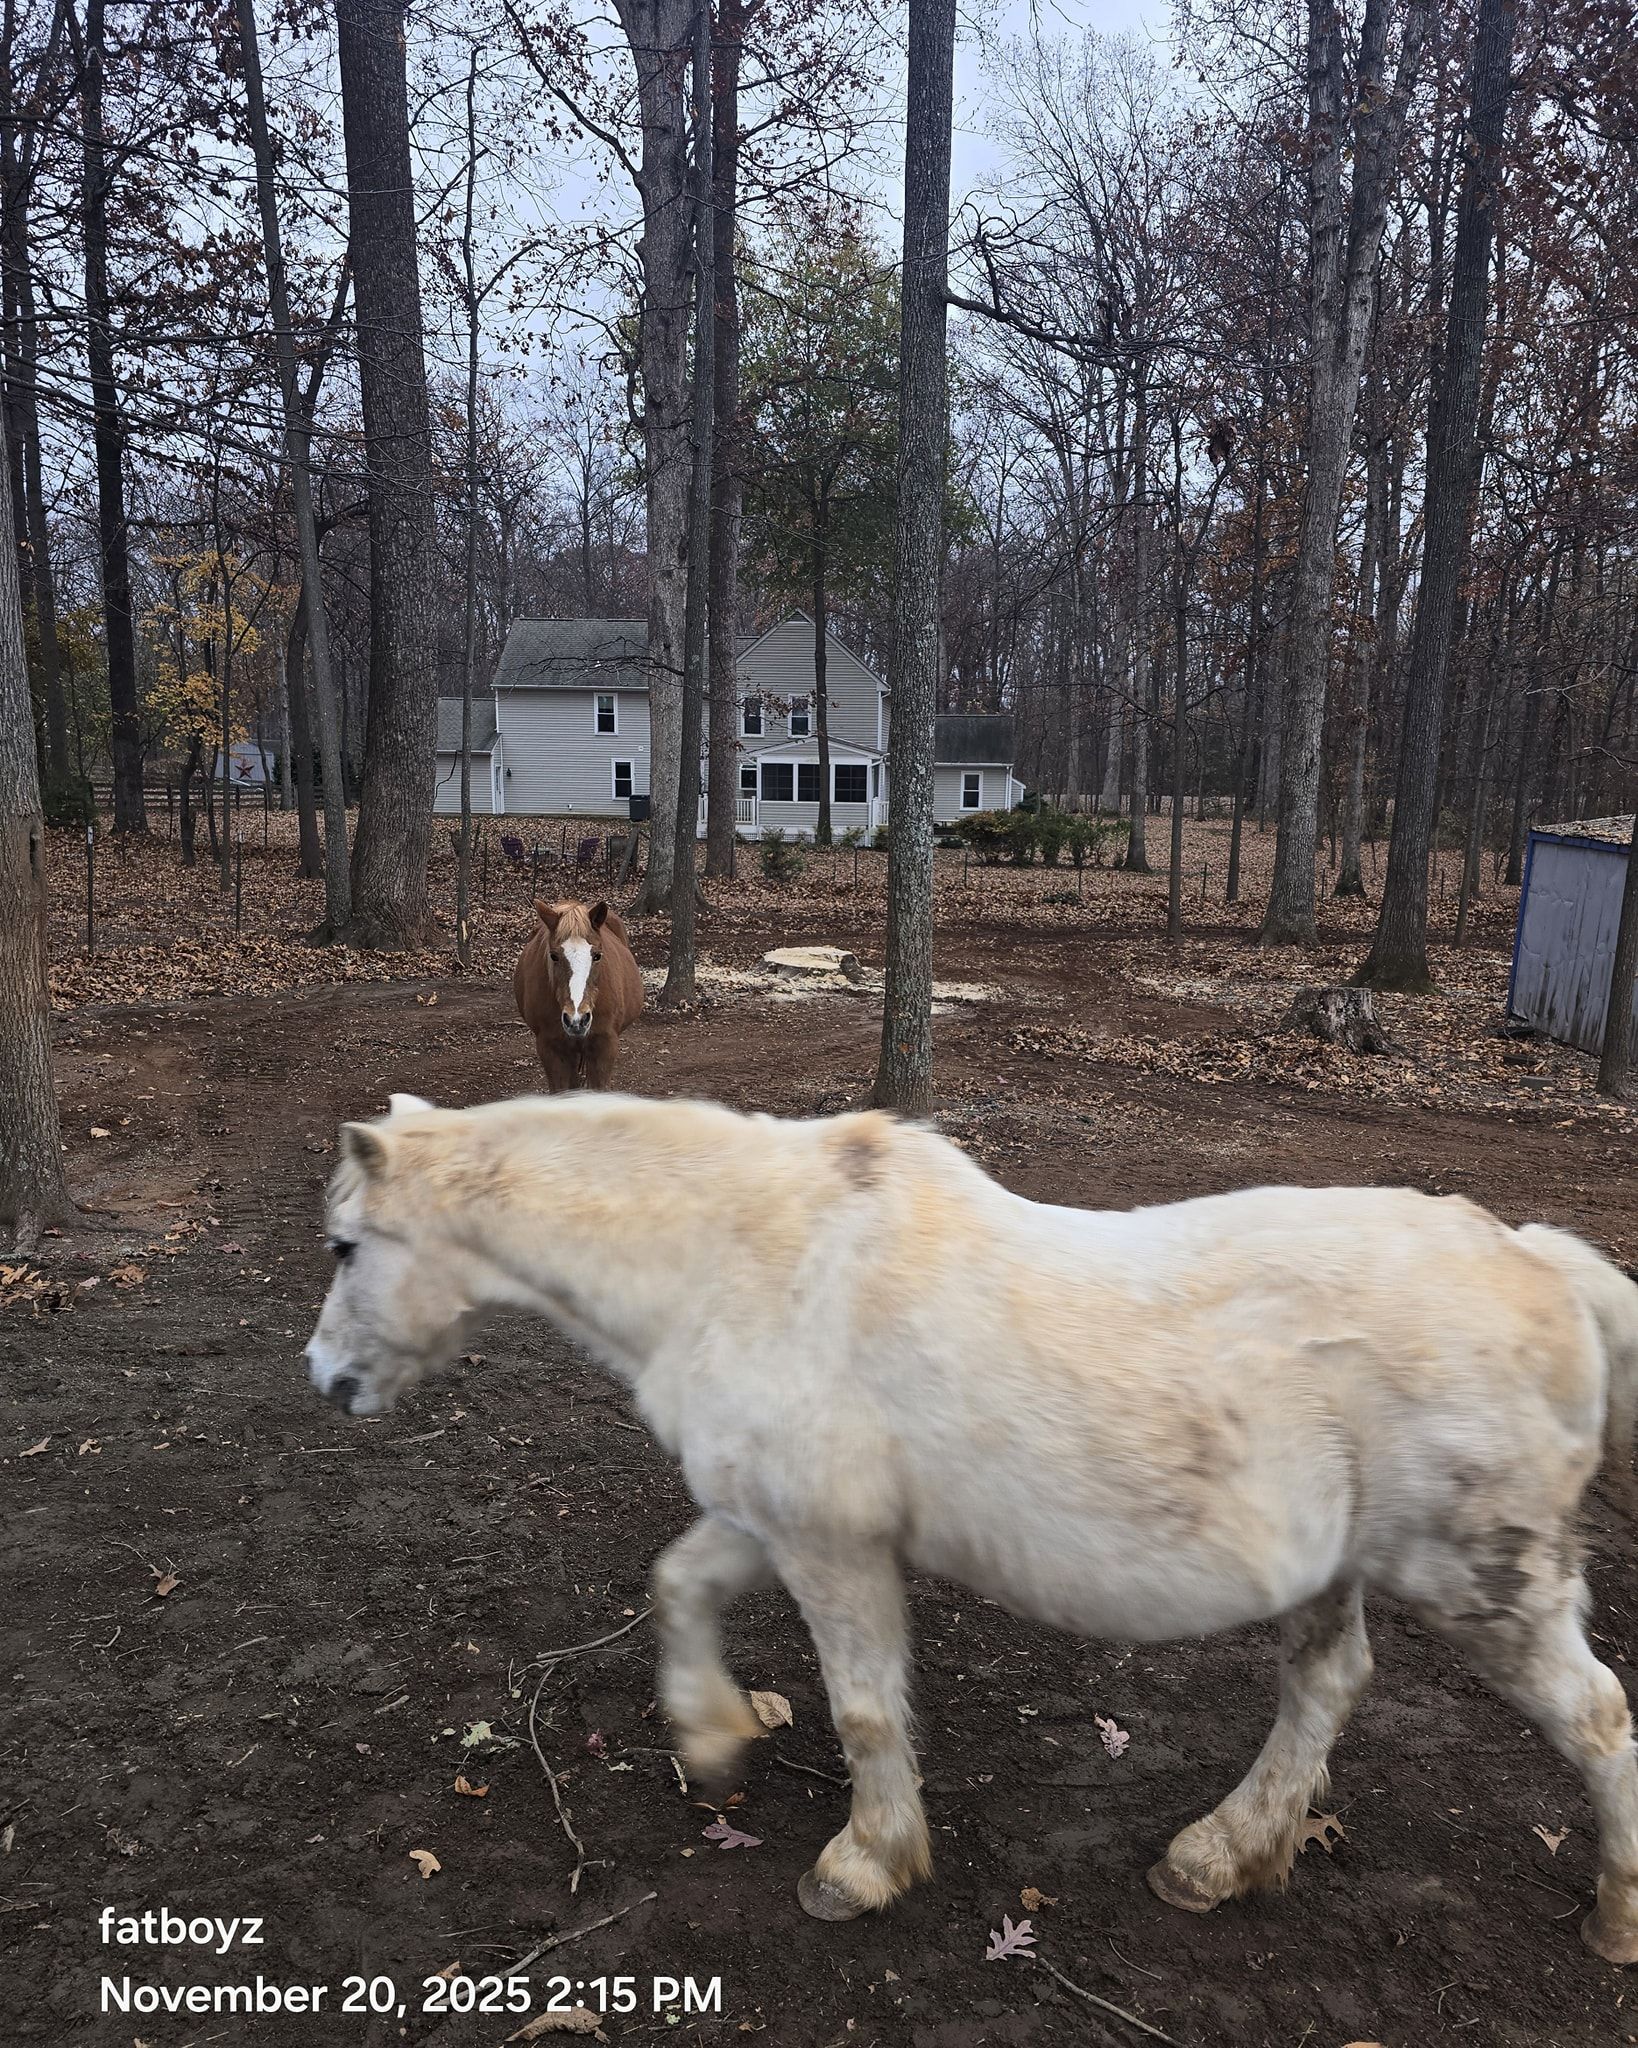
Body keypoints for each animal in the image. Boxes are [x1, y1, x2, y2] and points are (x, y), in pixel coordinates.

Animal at [304, 1092, 1638, 1963]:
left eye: (345, 1244)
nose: (324, 1379)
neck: (742, 1257)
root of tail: (1540, 1262)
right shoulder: (767, 1514)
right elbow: (676, 1583)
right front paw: (716, 1737)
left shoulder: (830, 1543)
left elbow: (864, 1710)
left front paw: (862, 1864)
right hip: (1339, 1570)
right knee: (1327, 1682)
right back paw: (1217, 1857)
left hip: (1486, 1585)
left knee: (1599, 1719)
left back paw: (1616, 1918)